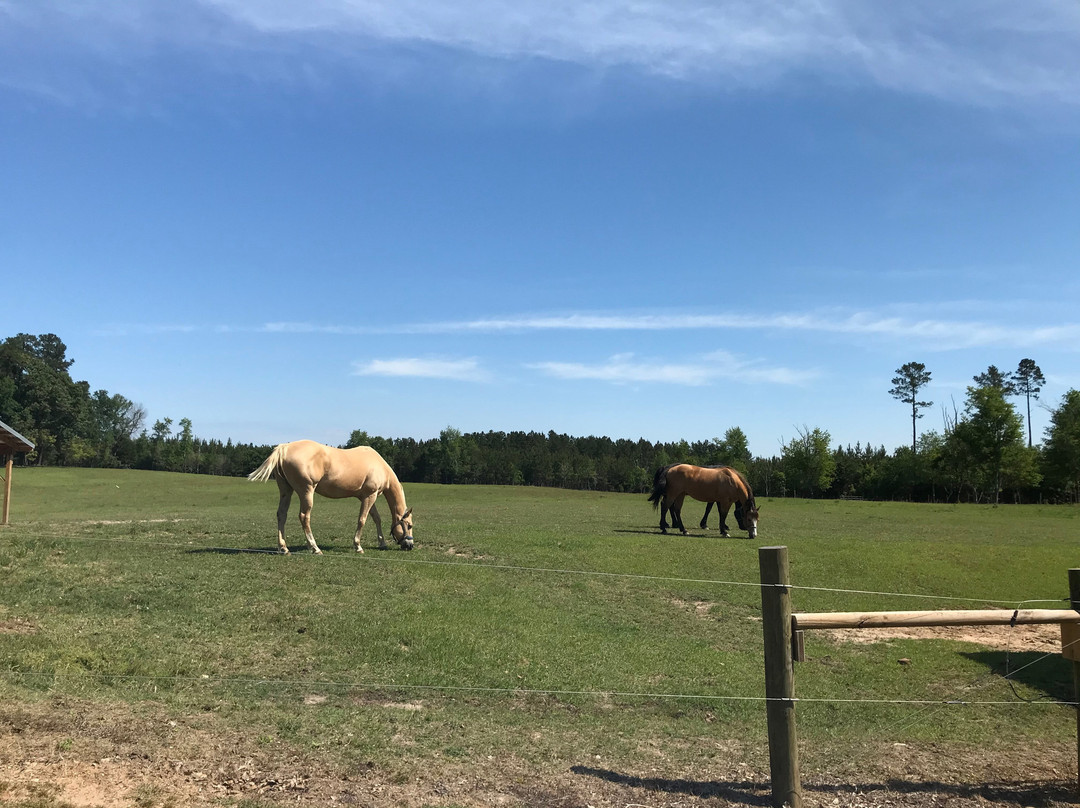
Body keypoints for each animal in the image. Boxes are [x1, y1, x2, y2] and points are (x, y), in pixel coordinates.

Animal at [247, 442, 412, 557]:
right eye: (409, 525)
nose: (410, 545)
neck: (379, 466)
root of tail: (284, 448)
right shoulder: (369, 496)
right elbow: (362, 520)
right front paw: (358, 546)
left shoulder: (365, 497)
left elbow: (376, 518)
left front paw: (382, 543)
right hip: (307, 491)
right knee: (304, 517)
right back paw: (315, 548)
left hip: (286, 491)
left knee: (282, 515)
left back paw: (284, 548)